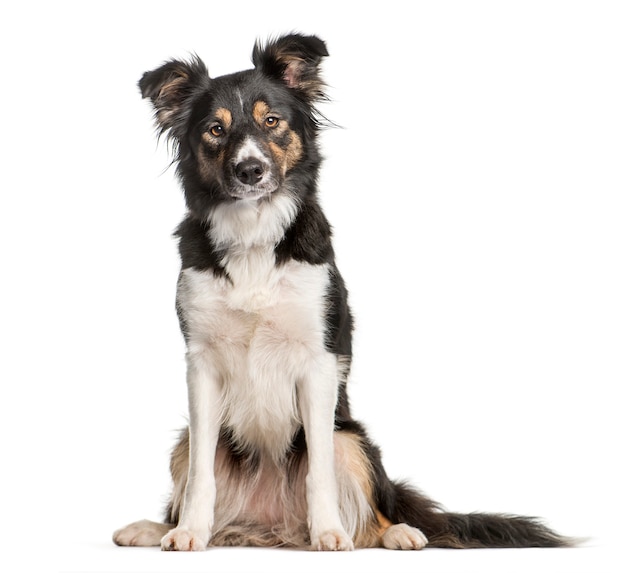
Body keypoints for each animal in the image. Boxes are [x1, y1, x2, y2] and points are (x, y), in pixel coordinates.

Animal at [113, 34, 572, 548]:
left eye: (271, 121)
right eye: (215, 129)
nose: (250, 170)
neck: (254, 235)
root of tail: (269, 523)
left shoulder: (319, 362)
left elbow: (320, 471)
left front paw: (330, 532)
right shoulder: (202, 364)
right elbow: (200, 475)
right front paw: (189, 532)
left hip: (350, 437)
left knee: (371, 511)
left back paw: (397, 532)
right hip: (185, 438)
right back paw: (154, 528)